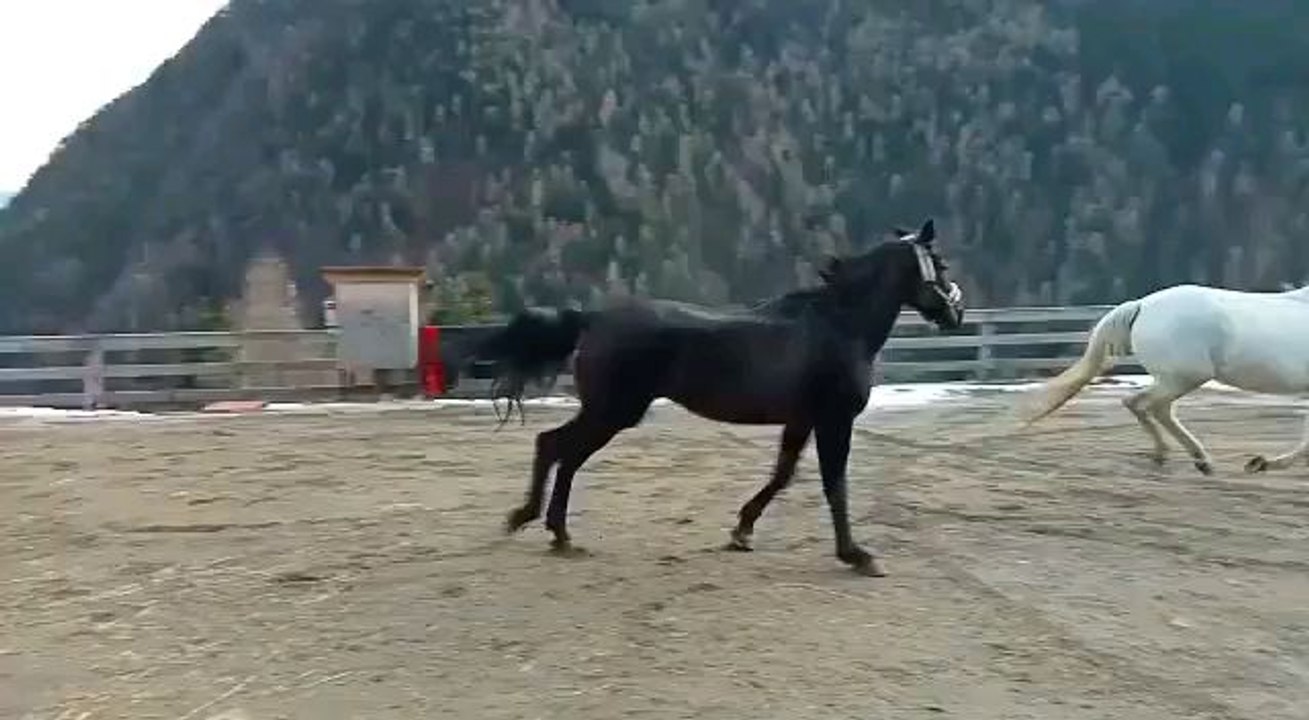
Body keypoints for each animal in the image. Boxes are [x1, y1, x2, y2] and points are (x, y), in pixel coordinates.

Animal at [465, 218, 965, 577]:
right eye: (939, 263)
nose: (956, 313)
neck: (838, 327)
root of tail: (593, 318)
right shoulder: (834, 420)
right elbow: (834, 485)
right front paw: (858, 555)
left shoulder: (801, 420)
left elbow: (782, 476)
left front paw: (741, 532)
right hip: (613, 411)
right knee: (556, 447)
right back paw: (539, 524)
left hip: (608, 412)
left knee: (560, 451)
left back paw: (554, 531)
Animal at [1018, 283, 1309, 475]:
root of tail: (1141, 305)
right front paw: (1261, 463)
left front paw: (1262, 463)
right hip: (1184, 377)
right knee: (1142, 404)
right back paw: (1172, 456)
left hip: (1175, 378)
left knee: (1156, 408)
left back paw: (1195, 460)